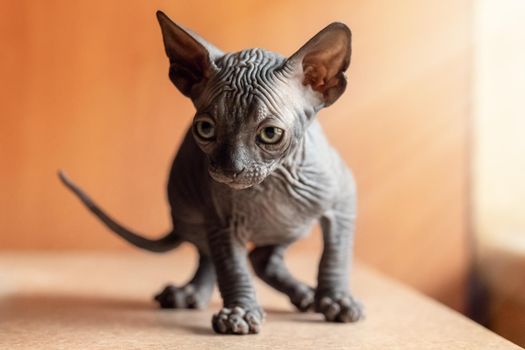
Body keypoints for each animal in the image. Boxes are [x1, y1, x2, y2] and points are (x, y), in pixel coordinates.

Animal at [58, 10, 360, 334]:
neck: (272, 183)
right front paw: (240, 311)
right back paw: (189, 293)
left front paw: (336, 299)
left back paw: (305, 295)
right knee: (216, 257)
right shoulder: (223, 223)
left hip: (292, 226)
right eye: (205, 129)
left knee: (261, 258)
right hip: (198, 213)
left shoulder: (343, 201)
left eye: (270, 134)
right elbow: (231, 267)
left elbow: (335, 256)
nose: (231, 169)